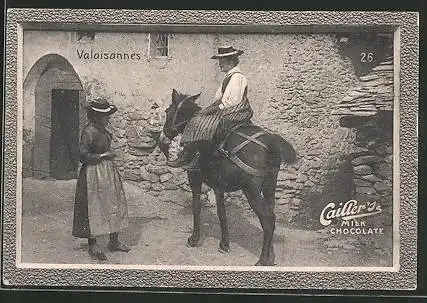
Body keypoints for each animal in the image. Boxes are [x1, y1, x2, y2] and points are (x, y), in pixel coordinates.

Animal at [159, 89, 296, 266]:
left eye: (168, 111)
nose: (165, 133)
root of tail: (271, 143)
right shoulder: (219, 187)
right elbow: (222, 213)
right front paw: (224, 243)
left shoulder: (196, 180)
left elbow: (198, 207)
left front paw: (194, 239)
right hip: (269, 187)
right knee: (271, 215)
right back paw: (271, 256)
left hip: (251, 190)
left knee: (268, 220)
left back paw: (262, 259)